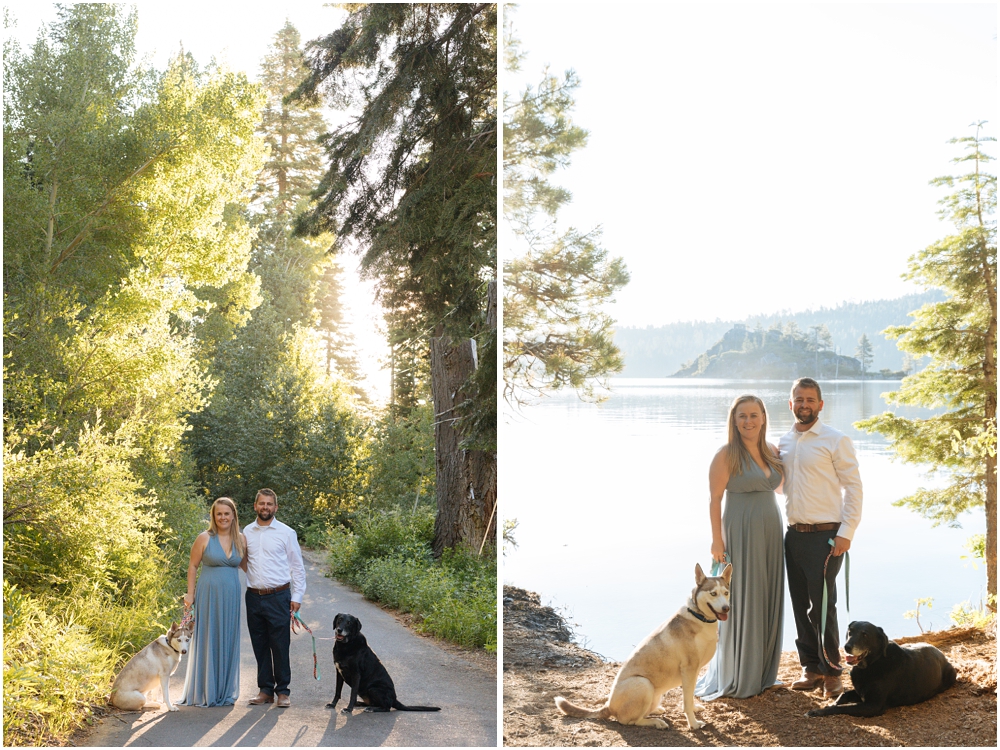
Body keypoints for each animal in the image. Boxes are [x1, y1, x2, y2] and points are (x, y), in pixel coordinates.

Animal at [552, 568, 732, 732]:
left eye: (726, 593)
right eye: (713, 593)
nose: (726, 608)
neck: (699, 616)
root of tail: (608, 705)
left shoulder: (693, 672)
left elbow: (690, 696)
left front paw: (694, 709)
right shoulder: (689, 669)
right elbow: (686, 702)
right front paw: (693, 724)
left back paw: (656, 710)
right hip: (643, 683)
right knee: (629, 721)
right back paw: (656, 722)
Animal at [804, 620, 952, 720]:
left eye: (865, 635)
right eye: (850, 632)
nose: (846, 647)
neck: (872, 664)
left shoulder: (873, 705)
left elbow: (844, 707)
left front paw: (818, 711)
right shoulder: (861, 692)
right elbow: (843, 695)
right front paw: (829, 705)